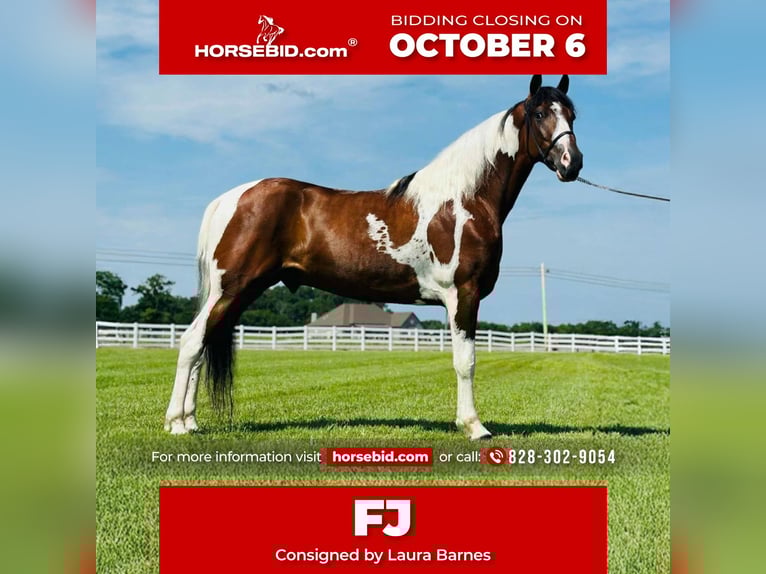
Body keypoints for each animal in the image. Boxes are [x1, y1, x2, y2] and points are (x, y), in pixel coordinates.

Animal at [164, 75, 583, 440]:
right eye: (540, 113)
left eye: (572, 115)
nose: (572, 163)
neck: (464, 200)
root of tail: (231, 198)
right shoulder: (463, 295)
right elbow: (466, 362)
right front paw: (474, 427)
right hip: (231, 288)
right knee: (192, 341)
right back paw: (177, 423)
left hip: (240, 291)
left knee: (202, 345)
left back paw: (191, 421)